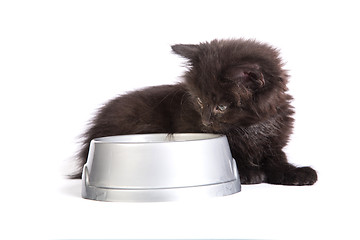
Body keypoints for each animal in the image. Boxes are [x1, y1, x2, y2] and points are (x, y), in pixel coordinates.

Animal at [72, 39, 318, 186]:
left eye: (221, 106)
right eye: (200, 101)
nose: (206, 121)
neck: (251, 127)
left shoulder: (274, 142)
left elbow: (278, 161)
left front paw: (297, 173)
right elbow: (237, 155)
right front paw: (249, 173)